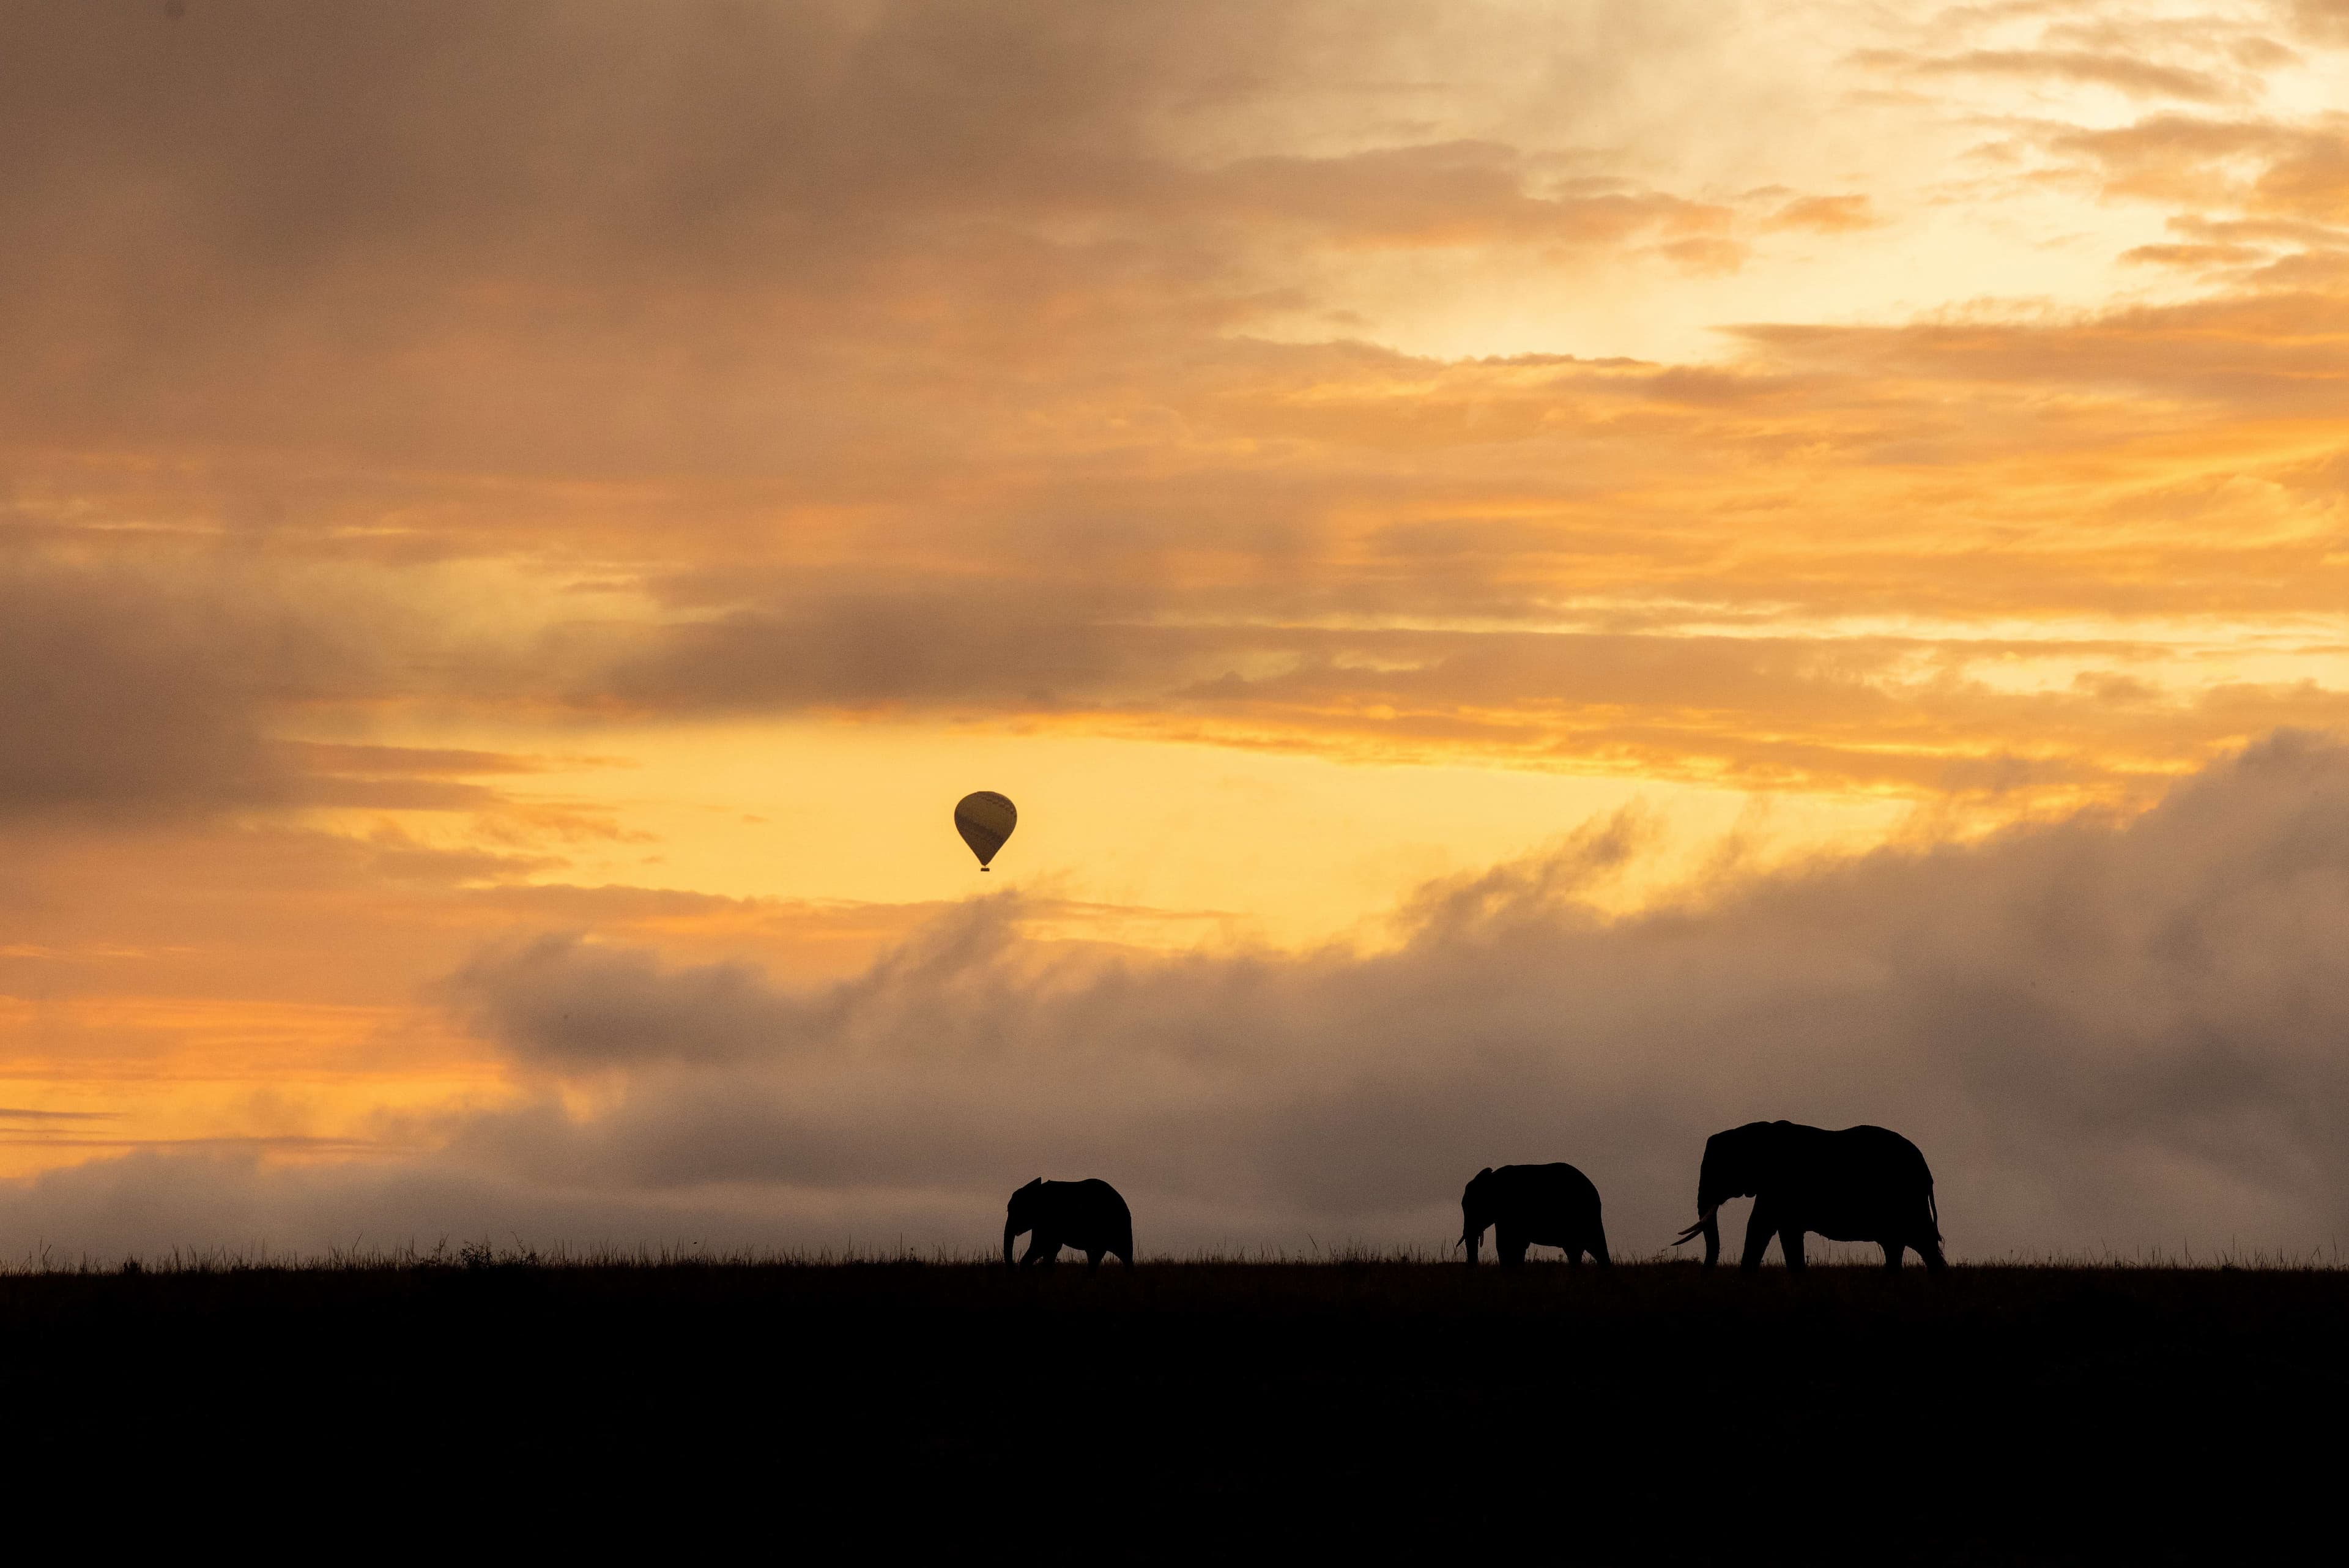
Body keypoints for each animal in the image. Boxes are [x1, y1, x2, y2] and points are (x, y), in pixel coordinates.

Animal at [1459, 1163, 1610, 1266]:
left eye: (1475, 1207)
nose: (1474, 1266)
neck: (1492, 1180)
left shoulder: (1509, 1210)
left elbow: (1506, 1243)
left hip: (1583, 1215)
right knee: (1581, 1250)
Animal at [1672, 1121, 1945, 1272]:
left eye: (1719, 1169)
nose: (1704, 1273)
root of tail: (1926, 1169)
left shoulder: (1780, 1182)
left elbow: (1762, 1226)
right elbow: (1779, 1231)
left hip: (1905, 1196)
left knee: (1922, 1240)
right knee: (1897, 1244)